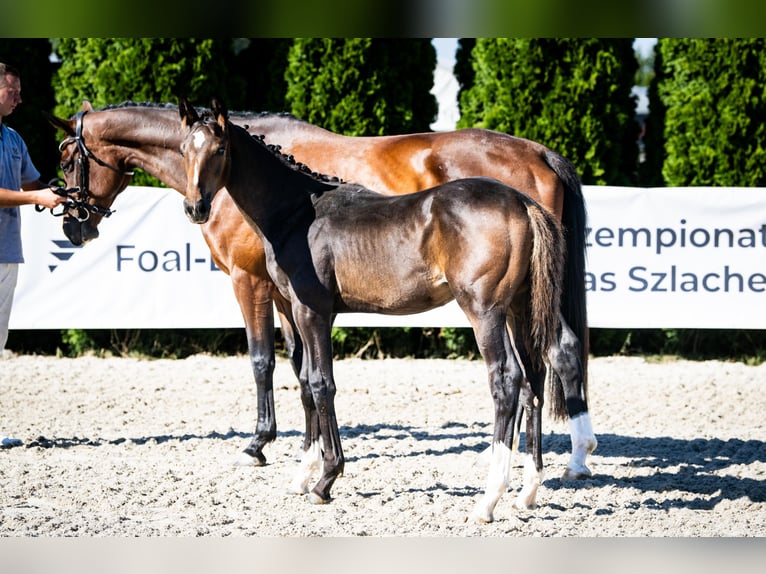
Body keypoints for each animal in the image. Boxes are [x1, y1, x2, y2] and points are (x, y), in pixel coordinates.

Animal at [47, 101, 596, 479]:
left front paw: (262, 446)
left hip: (496, 306)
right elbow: (301, 369)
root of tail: (539, 156)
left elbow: (268, 363)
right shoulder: (289, 299)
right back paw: (550, 465)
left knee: (536, 365)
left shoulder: (253, 284)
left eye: (69, 157)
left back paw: (547, 464)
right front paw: (306, 454)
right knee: (554, 359)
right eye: (183, 151)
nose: (74, 226)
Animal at [179, 97, 568, 522]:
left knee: (507, 379)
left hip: (485, 311)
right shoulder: (296, 311)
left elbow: (321, 383)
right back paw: (527, 492)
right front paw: (303, 475)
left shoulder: (312, 311)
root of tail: (523, 203)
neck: (298, 215)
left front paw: (325, 480)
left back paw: (487, 500)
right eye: (184, 149)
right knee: (533, 380)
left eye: (219, 150)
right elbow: (305, 382)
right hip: (518, 310)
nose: (195, 207)